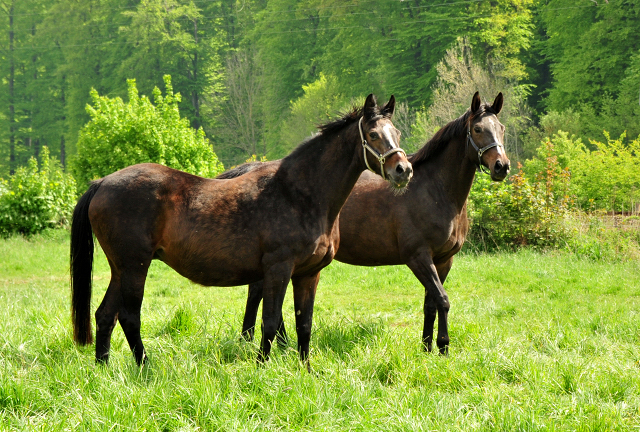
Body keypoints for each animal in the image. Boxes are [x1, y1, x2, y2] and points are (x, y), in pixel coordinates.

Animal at [70, 93, 410, 364]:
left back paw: (103, 368)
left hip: (121, 269)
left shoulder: (308, 273)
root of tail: (101, 183)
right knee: (129, 317)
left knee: (104, 315)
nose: (403, 170)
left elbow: (304, 324)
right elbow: (270, 321)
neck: (299, 193)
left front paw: (306, 371)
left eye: (396, 132)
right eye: (372, 134)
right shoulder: (278, 269)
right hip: (134, 267)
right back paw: (145, 368)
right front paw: (261, 368)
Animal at [235, 91, 510, 354]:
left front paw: (428, 348)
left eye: (501, 128)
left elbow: (431, 304)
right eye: (478, 129)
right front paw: (443, 347)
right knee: (258, 293)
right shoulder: (418, 256)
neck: (434, 190)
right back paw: (253, 341)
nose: (502, 166)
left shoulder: (443, 259)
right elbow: (442, 299)